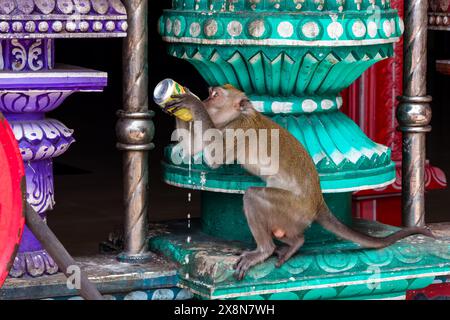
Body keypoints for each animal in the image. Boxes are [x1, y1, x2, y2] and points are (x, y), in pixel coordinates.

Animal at [164, 84, 432, 280]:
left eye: (215, 95)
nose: (205, 100)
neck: (241, 115)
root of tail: (317, 202)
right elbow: (195, 150)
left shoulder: (235, 131)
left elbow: (213, 160)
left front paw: (191, 104)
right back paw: (294, 242)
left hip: (292, 209)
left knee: (253, 196)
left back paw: (265, 250)